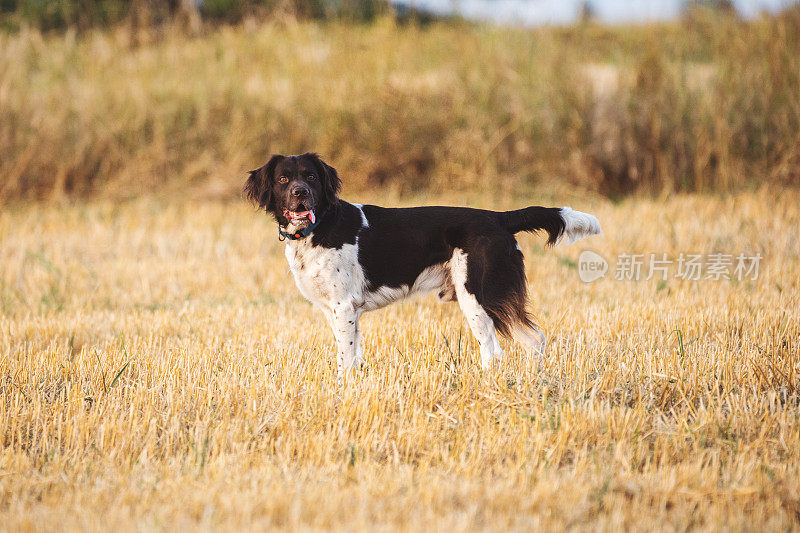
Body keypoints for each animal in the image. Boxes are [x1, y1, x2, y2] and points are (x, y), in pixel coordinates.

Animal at [244, 152, 600, 380]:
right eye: (283, 178)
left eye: (311, 177)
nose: (300, 193)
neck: (320, 227)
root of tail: (498, 218)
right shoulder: (338, 310)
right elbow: (354, 354)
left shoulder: (344, 305)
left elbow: (345, 358)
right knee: (531, 341)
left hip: (480, 296)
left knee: (500, 348)